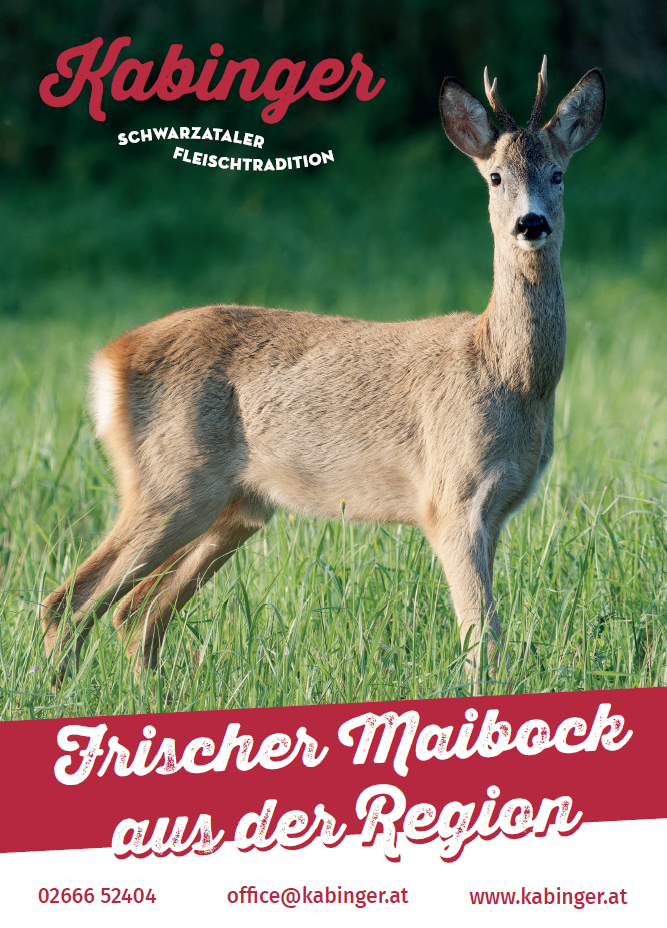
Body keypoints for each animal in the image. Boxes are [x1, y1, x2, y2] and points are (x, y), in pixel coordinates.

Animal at [41, 57, 605, 685]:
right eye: (496, 178)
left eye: (558, 174)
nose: (531, 224)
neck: (508, 375)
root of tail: (108, 361)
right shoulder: (449, 500)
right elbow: (483, 639)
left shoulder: (498, 512)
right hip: (170, 481)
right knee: (72, 598)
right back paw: (58, 691)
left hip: (234, 506)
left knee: (136, 611)